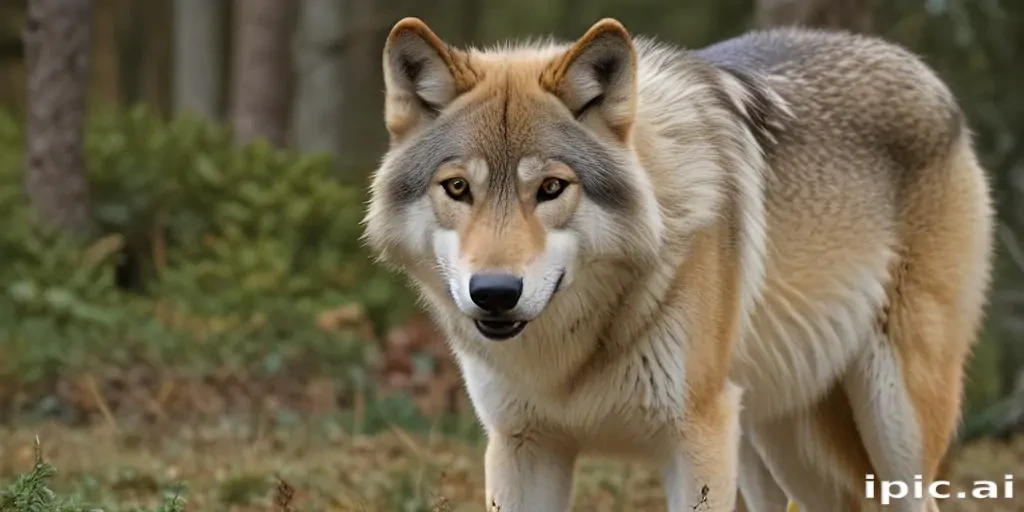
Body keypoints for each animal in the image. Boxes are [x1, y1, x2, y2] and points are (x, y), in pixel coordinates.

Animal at [362, 16, 994, 512]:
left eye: (550, 188)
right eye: (458, 188)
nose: (493, 291)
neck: (572, 357)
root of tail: (922, 70)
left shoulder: (698, 438)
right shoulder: (525, 447)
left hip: (892, 425)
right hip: (771, 441)